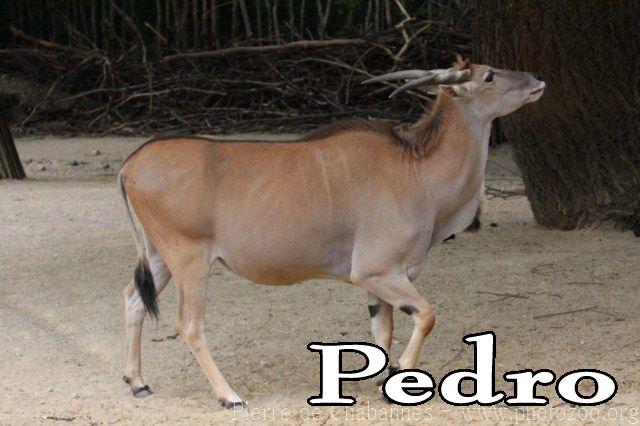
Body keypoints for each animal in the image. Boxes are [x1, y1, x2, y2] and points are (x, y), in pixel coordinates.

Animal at [118, 57, 545, 408]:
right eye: (489, 75)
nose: (537, 79)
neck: (415, 170)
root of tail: (131, 164)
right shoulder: (378, 272)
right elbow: (426, 316)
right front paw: (400, 375)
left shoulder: (381, 282)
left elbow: (383, 330)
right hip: (189, 261)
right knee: (189, 326)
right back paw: (229, 396)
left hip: (160, 258)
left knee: (134, 299)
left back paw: (137, 382)